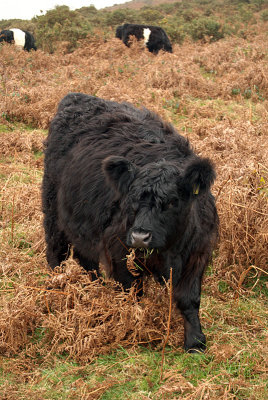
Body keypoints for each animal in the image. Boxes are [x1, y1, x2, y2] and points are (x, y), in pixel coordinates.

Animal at [42, 92, 218, 352]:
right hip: (53, 212)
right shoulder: (117, 248)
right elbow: (132, 291)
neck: (168, 251)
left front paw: (195, 341)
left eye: (172, 201)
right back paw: (59, 288)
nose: (140, 236)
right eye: (132, 199)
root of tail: (78, 97)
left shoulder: (198, 253)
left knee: (86, 260)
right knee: (58, 254)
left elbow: (189, 299)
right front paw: (135, 328)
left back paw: (94, 289)